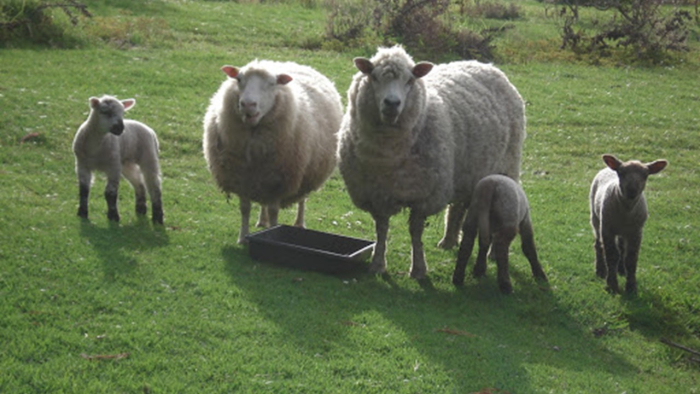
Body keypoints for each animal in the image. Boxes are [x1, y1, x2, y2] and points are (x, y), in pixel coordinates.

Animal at [73, 94, 164, 225]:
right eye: (105, 112)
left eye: (123, 113)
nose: (120, 128)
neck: (95, 148)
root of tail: (150, 130)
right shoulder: (81, 165)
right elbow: (84, 189)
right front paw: (82, 213)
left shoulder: (113, 166)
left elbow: (110, 193)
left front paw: (113, 216)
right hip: (127, 164)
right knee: (139, 183)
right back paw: (141, 209)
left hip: (149, 156)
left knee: (154, 186)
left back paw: (158, 217)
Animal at [202, 60, 342, 243]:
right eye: (239, 79)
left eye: (271, 83)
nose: (247, 104)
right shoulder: (242, 178)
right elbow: (245, 208)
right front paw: (242, 238)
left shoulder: (278, 182)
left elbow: (274, 211)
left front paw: (273, 232)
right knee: (263, 203)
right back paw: (262, 221)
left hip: (306, 171)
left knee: (302, 199)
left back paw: (299, 222)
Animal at [338, 45, 524, 278]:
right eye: (373, 76)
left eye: (410, 80)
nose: (392, 103)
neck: (388, 157)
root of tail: (485, 65)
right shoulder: (376, 194)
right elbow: (381, 229)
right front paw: (377, 264)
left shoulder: (424, 196)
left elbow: (415, 232)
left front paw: (418, 268)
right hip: (464, 173)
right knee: (458, 206)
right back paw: (448, 240)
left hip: (506, 168)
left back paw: (491, 252)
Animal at [592, 154, 668, 292]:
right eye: (621, 173)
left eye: (645, 175)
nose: (632, 190)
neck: (626, 211)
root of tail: (606, 168)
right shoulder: (607, 229)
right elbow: (611, 255)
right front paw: (612, 284)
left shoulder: (636, 232)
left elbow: (631, 259)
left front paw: (631, 287)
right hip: (596, 218)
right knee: (598, 244)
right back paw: (600, 270)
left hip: (624, 231)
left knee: (622, 248)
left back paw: (621, 270)